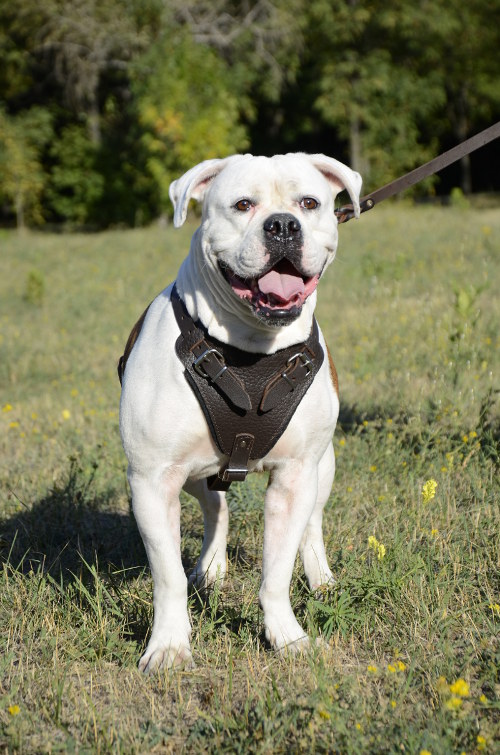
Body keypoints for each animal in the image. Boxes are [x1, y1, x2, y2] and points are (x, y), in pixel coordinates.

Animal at [119, 154, 362, 672]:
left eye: (309, 203)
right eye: (243, 205)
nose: (283, 225)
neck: (250, 345)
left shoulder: (296, 475)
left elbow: (277, 571)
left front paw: (286, 637)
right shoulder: (152, 479)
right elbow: (167, 576)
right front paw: (169, 647)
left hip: (323, 466)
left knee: (312, 523)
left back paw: (321, 577)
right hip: (194, 473)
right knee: (217, 506)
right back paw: (211, 567)